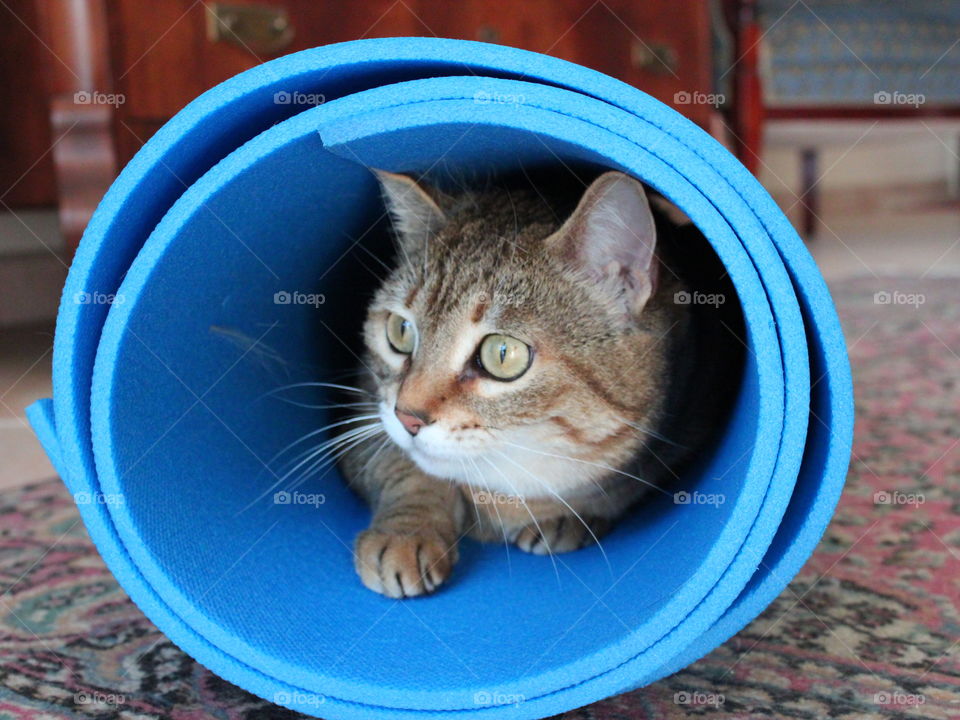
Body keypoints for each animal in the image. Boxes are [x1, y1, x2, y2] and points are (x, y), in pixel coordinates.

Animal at [338, 167, 744, 596]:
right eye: (400, 331)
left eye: (503, 353)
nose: (408, 417)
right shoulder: (362, 407)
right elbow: (404, 468)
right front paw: (405, 532)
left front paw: (566, 517)